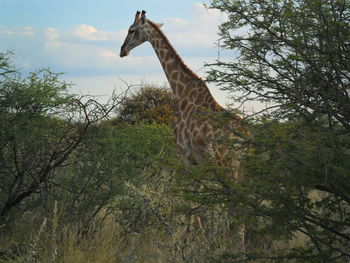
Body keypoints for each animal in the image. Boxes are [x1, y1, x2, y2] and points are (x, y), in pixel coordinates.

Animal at [120, 10, 249, 253]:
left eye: (131, 30)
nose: (122, 50)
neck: (181, 92)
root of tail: (243, 139)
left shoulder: (184, 154)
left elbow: (186, 200)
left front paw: (184, 242)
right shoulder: (197, 160)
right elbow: (194, 201)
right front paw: (194, 241)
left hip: (226, 164)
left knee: (237, 203)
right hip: (238, 167)